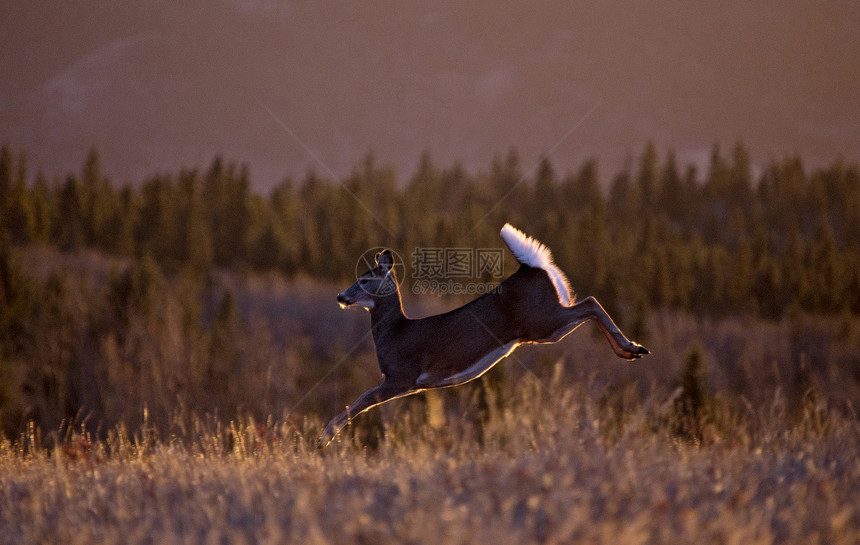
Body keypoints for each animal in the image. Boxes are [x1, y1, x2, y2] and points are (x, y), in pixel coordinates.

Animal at [320, 222, 648, 446]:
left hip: (543, 321)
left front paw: (326, 436)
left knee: (590, 303)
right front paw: (327, 435)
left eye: (364, 280)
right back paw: (629, 351)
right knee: (588, 305)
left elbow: (361, 400)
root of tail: (530, 269)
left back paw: (633, 347)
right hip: (544, 325)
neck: (394, 332)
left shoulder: (402, 376)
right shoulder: (409, 384)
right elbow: (362, 401)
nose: (340, 296)